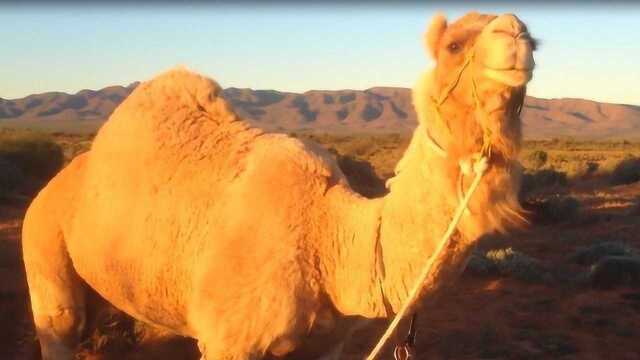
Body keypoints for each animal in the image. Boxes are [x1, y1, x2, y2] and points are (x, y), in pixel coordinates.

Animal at [22, 11, 536, 360]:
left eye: (536, 38)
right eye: (453, 45)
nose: (515, 32)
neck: (329, 237)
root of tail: (53, 186)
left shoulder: (324, 346)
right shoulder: (230, 342)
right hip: (43, 248)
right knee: (60, 326)